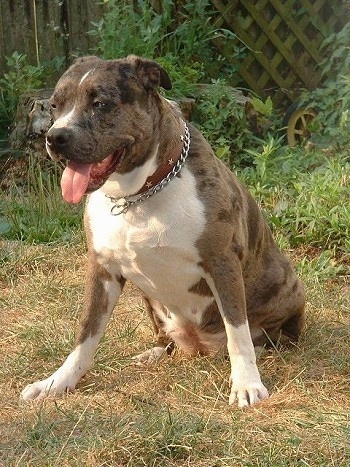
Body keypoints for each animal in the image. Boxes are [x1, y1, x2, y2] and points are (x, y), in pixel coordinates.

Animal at [21, 54, 304, 408]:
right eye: (55, 106)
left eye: (100, 104)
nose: (55, 137)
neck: (138, 195)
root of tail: (201, 346)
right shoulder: (102, 270)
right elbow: (86, 333)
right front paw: (57, 382)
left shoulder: (222, 262)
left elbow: (237, 331)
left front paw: (246, 384)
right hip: (151, 302)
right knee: (164, 336)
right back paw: (154, 353)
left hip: (289, 286)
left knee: (269, 334)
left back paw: (266, 348)